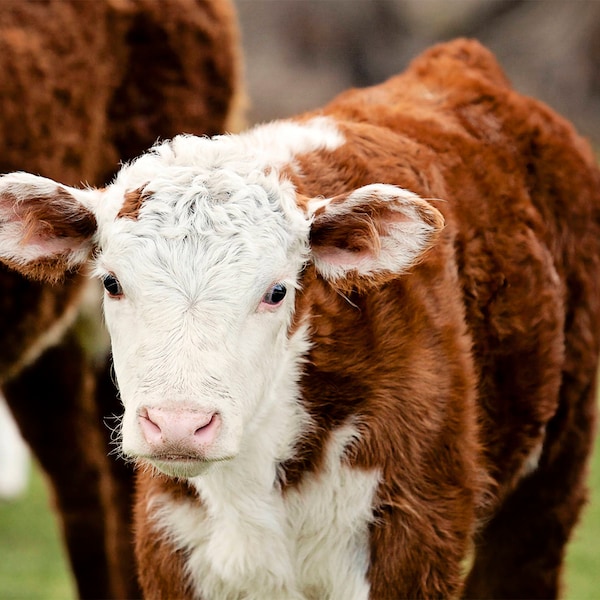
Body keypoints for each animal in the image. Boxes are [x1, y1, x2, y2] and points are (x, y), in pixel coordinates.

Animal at [1, 39, 600, 596]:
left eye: (276, 291)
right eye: (111, 282)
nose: (179, 426)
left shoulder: (415, 533)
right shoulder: (169, 538)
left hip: (553, 475)